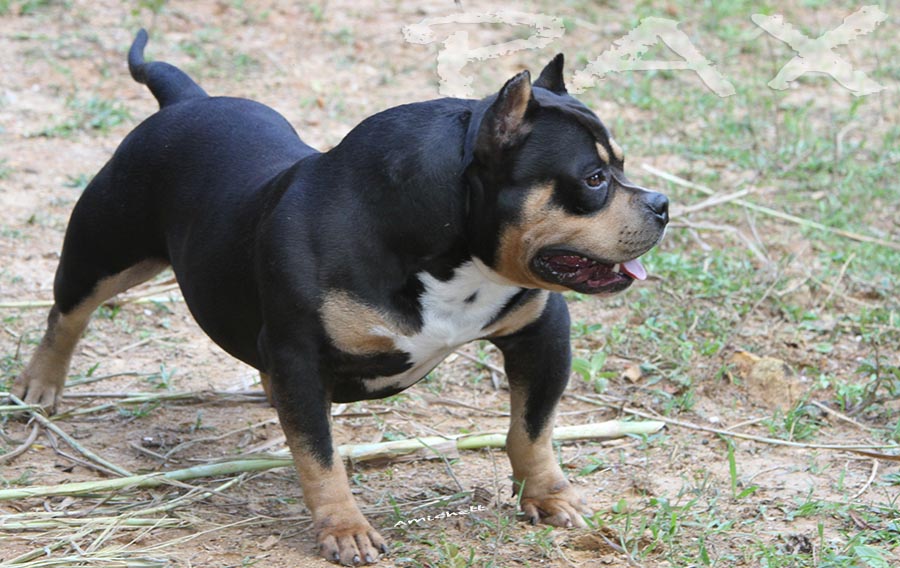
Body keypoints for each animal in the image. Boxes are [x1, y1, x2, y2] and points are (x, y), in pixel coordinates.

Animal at [10, 30, 664, 564]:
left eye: (621, 166)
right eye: (594, 180)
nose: (661, 203)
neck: (445, 246)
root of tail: (186, 101)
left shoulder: (540, 333)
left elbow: (533, 428)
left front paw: (548, 497)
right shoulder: (300, 356)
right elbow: (318, 457)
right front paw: (344, 529)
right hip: (104, 251)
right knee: (67, 311)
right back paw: (39, 385)